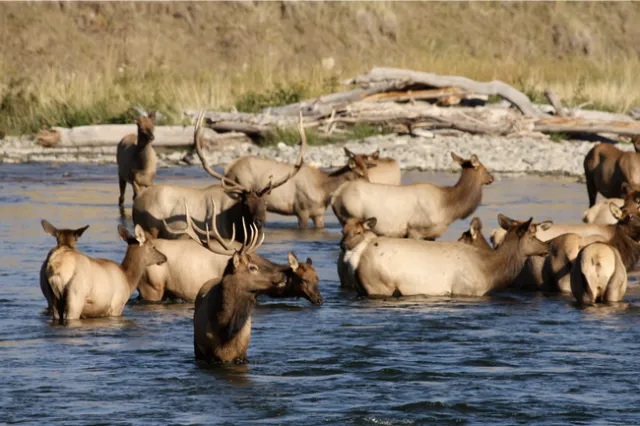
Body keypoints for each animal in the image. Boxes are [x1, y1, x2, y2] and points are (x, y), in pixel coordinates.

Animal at [132, 110, 304, 241]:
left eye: (266, 204)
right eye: (246, 203)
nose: (259, 223)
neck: (235, 225)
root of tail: (137, 201)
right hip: (149, 231)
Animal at [223, 119, 373, 228]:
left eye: (367, 170)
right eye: (360, 174)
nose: (370, 185)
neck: (323, 191)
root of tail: (227, 170)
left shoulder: (318, 214)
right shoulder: (301, 211)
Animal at [331, 152, 494, 240]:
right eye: (485, 168)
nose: (492, 178)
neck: (448, 207)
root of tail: (335, 195)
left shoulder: (431, 235)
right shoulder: (415, 230)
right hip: (350, 216)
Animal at [338, 214, 549, 297]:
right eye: (532, 235)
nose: (546, 247)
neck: (489, 271)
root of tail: (357, 255)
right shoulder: (465, 290)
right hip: (378, 285)